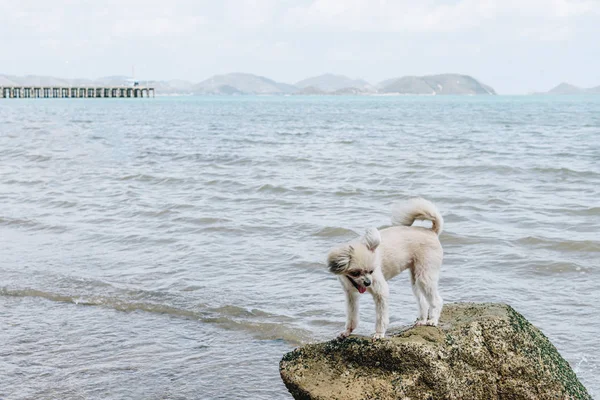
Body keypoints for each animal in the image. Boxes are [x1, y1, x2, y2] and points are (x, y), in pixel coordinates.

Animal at [324, 198, 446, 340]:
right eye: (355, 272)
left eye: (371, 271)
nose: (368, 283)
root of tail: (432, 231)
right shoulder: (351, 296)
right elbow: (352, 315)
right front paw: (348, 331)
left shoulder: (380, 292)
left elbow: (381, 316)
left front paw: (379, 333)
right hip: (416, 278)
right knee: (422, 300)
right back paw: (422, 320)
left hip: (425, 276)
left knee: (437, 300)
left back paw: (433, 320)